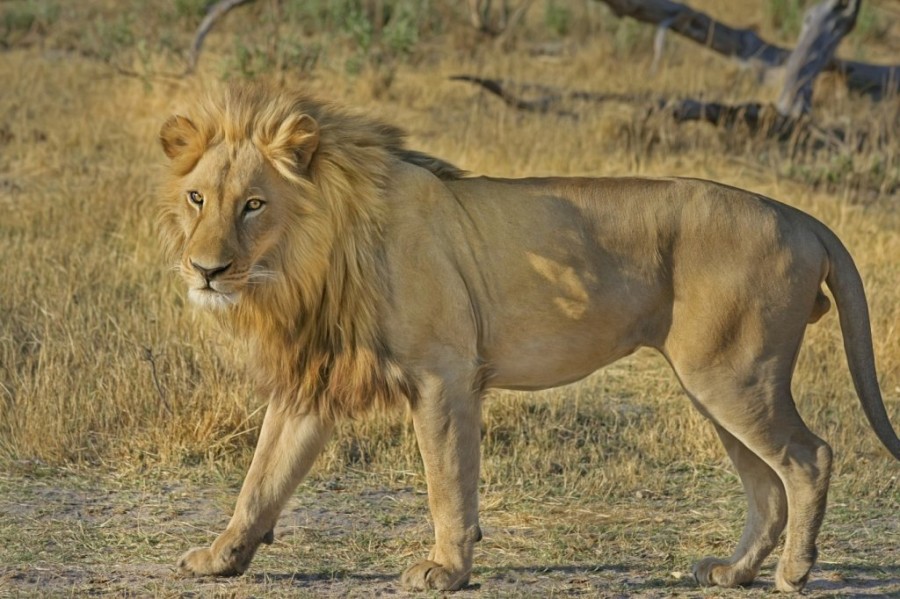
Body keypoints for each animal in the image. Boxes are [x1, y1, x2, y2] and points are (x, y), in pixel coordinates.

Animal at [158, 84, 900, 593]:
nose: (205, 269)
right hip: (715, 383)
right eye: (198, 198)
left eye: (254, 204)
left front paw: (446, 569)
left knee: (809, 457)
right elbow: (261, 479)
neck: (309, 260)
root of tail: (800, 215)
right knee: (767, 485)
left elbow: (447, 483)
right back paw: (734, 571)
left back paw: (794, 573)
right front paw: (220, 558)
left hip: (733, 376)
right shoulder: (313, 381)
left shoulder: (444, 375)